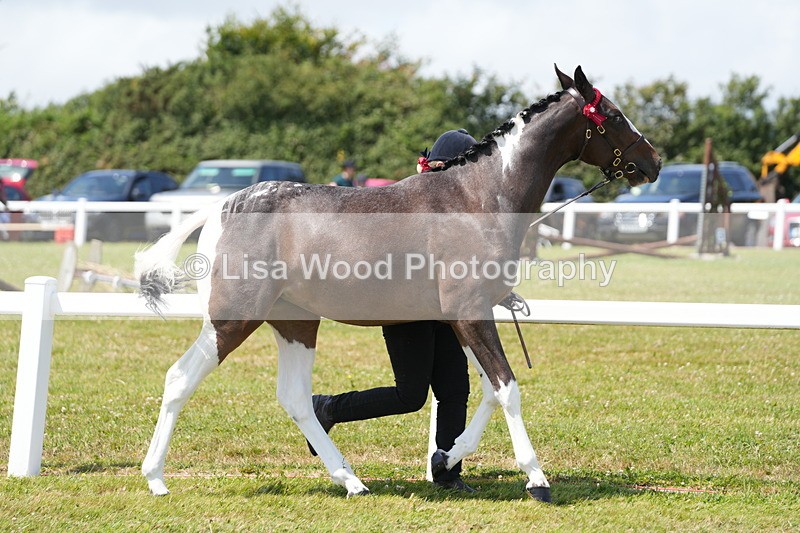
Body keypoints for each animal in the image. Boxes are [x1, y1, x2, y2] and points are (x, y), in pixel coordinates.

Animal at [135, 65, 661, 502]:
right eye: (613, 114)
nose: (653, 162)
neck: (477, 199)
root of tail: (223, 206)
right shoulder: (471, 313)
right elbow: (508, 388)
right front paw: (537, 479)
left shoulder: (464, 317)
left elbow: (486, 391)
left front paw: (446, 458)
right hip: (232, 320)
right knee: (180, 379)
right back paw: (156, 478)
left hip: (297, 323)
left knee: (298, 400)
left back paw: (350, 480)